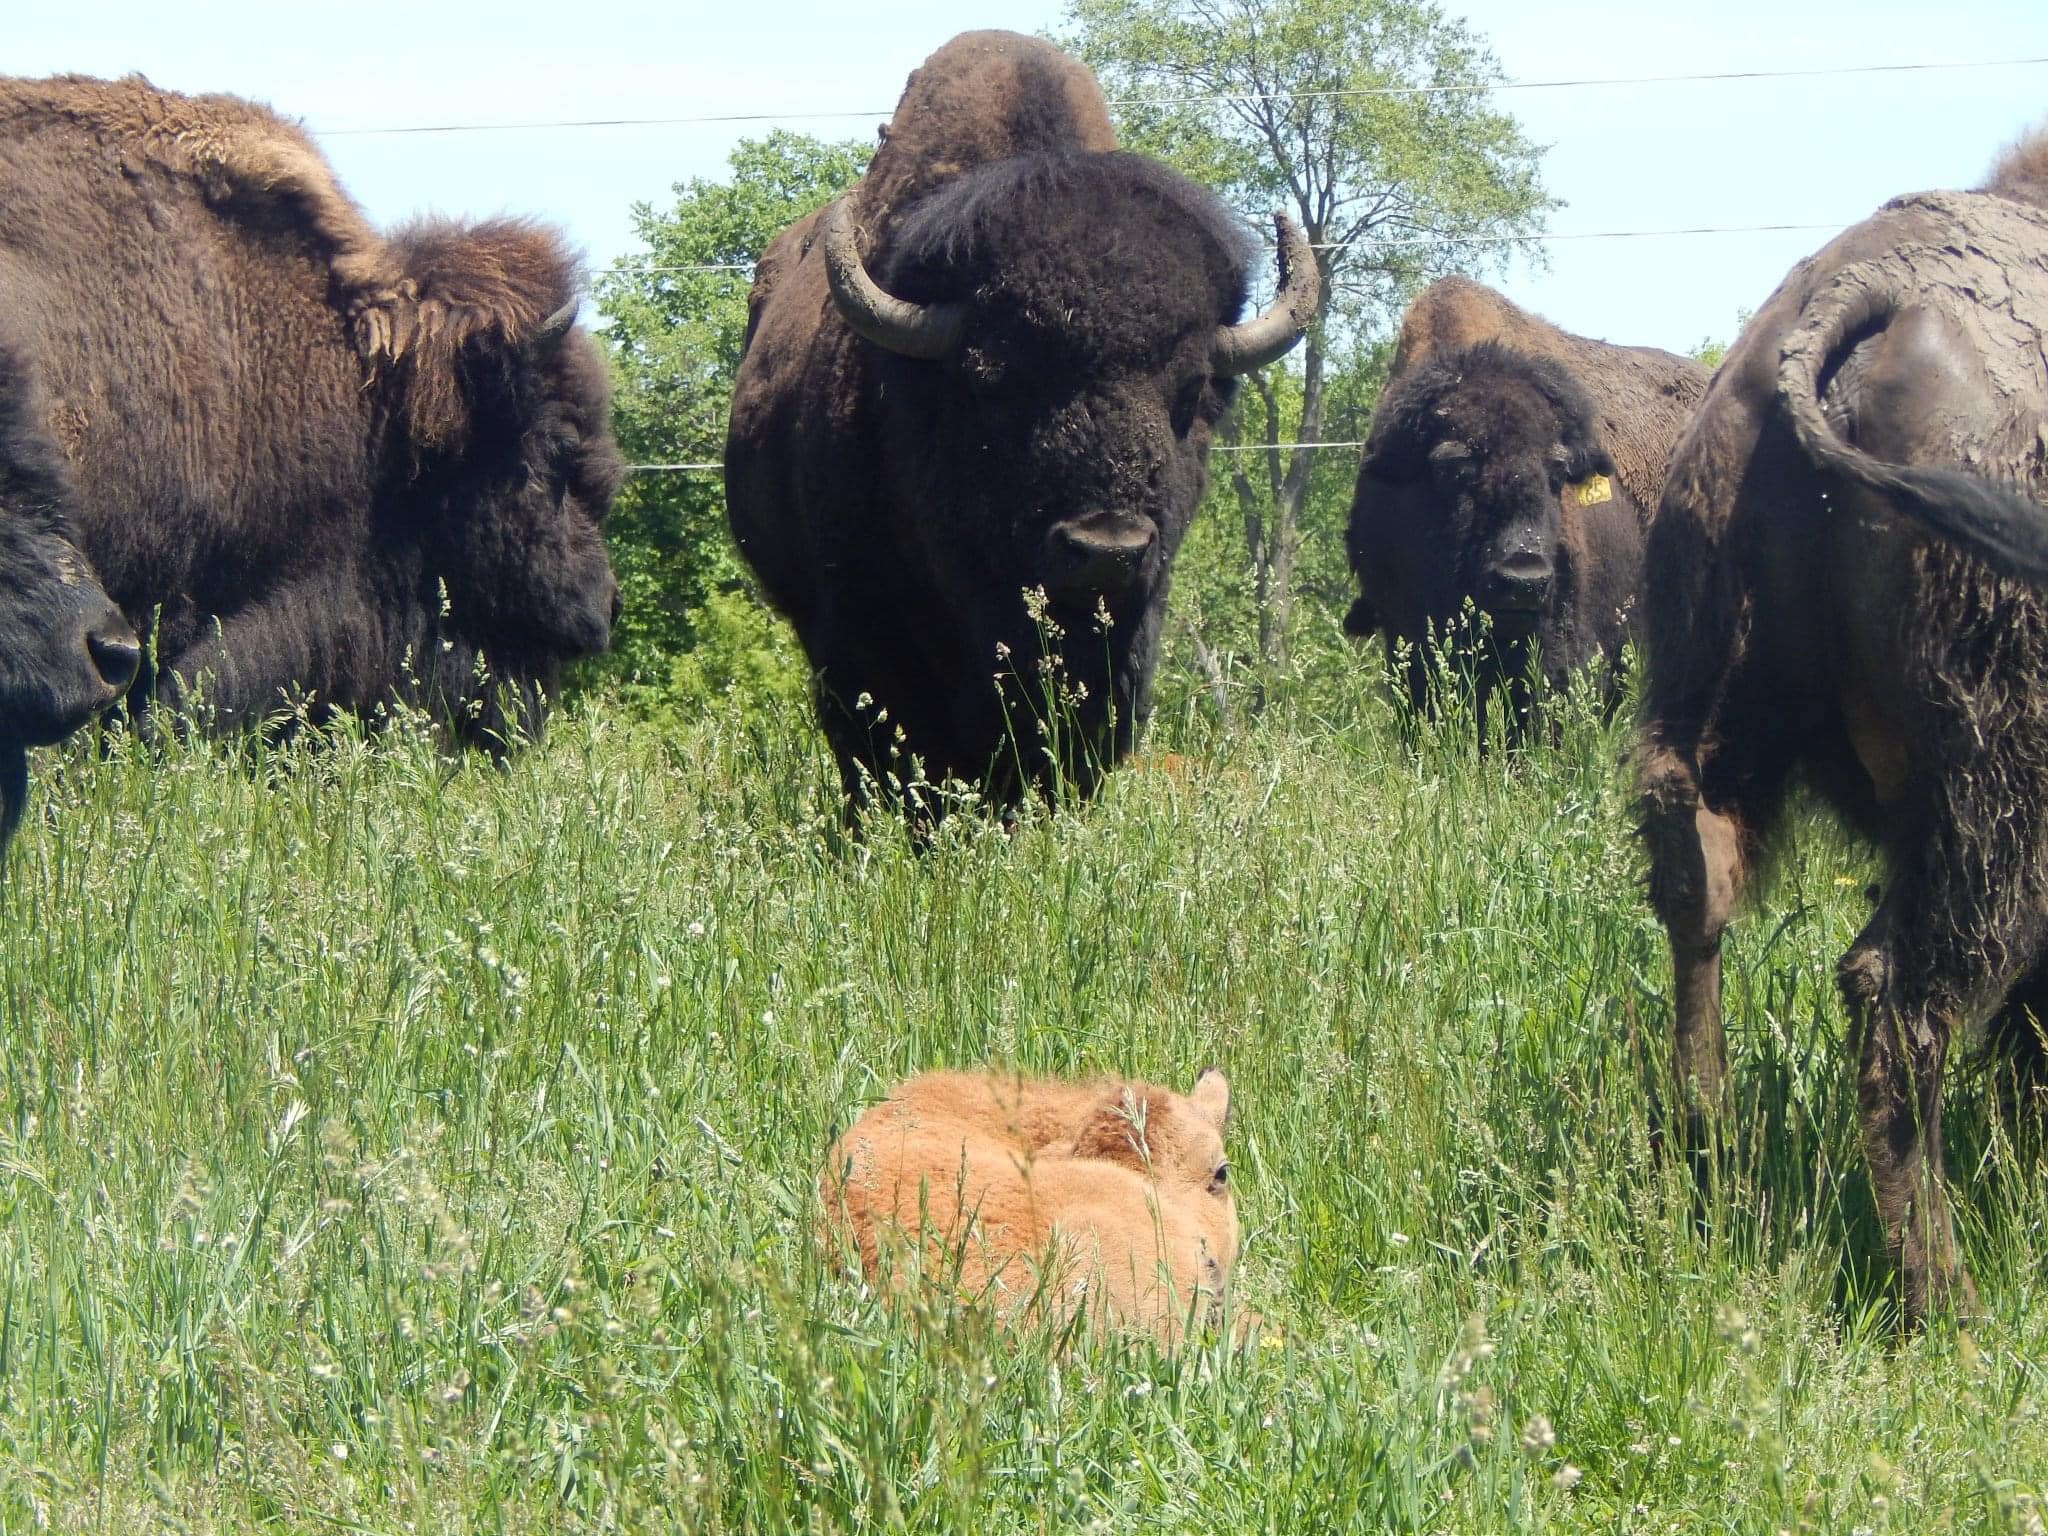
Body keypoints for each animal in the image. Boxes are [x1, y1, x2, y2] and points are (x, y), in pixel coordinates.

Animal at [1637, 128, 2048, 1323]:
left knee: (1697, 886)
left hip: (1714, 700)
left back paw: (1708, 1150)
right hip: (1998, 806)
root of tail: (1861, 290)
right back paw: (1943, 1300)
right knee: (1899, 999)